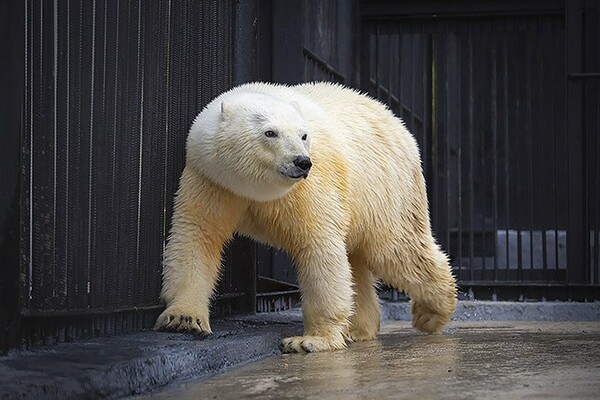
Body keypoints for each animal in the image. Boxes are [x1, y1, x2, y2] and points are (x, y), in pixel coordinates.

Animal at [155, 82, 454, 354]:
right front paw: (184, 319)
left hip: (387, 191)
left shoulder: (308, 187)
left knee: (398, 251)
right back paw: (360, 328)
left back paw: (431, 314)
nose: (302, 162)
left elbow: (318, 246)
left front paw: (309, 340)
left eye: (304, 135)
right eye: (270, 132)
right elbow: (197, 235)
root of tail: (398, 123)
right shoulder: (212, 180)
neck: (254, 188)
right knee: (358, 263)